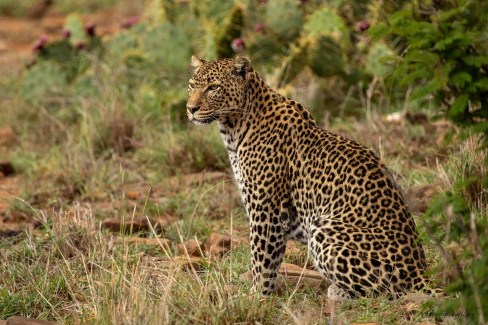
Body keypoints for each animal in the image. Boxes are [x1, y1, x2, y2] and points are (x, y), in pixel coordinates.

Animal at [185, 55, 428, 298]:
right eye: (192, 85)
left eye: (213, 88)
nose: (190, 108)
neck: (233, 127)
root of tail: (420, 272)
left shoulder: (266, 209)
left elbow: (261, 258)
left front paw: (255, 295)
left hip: (324, 230)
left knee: (387, 291)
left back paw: (337, 292)